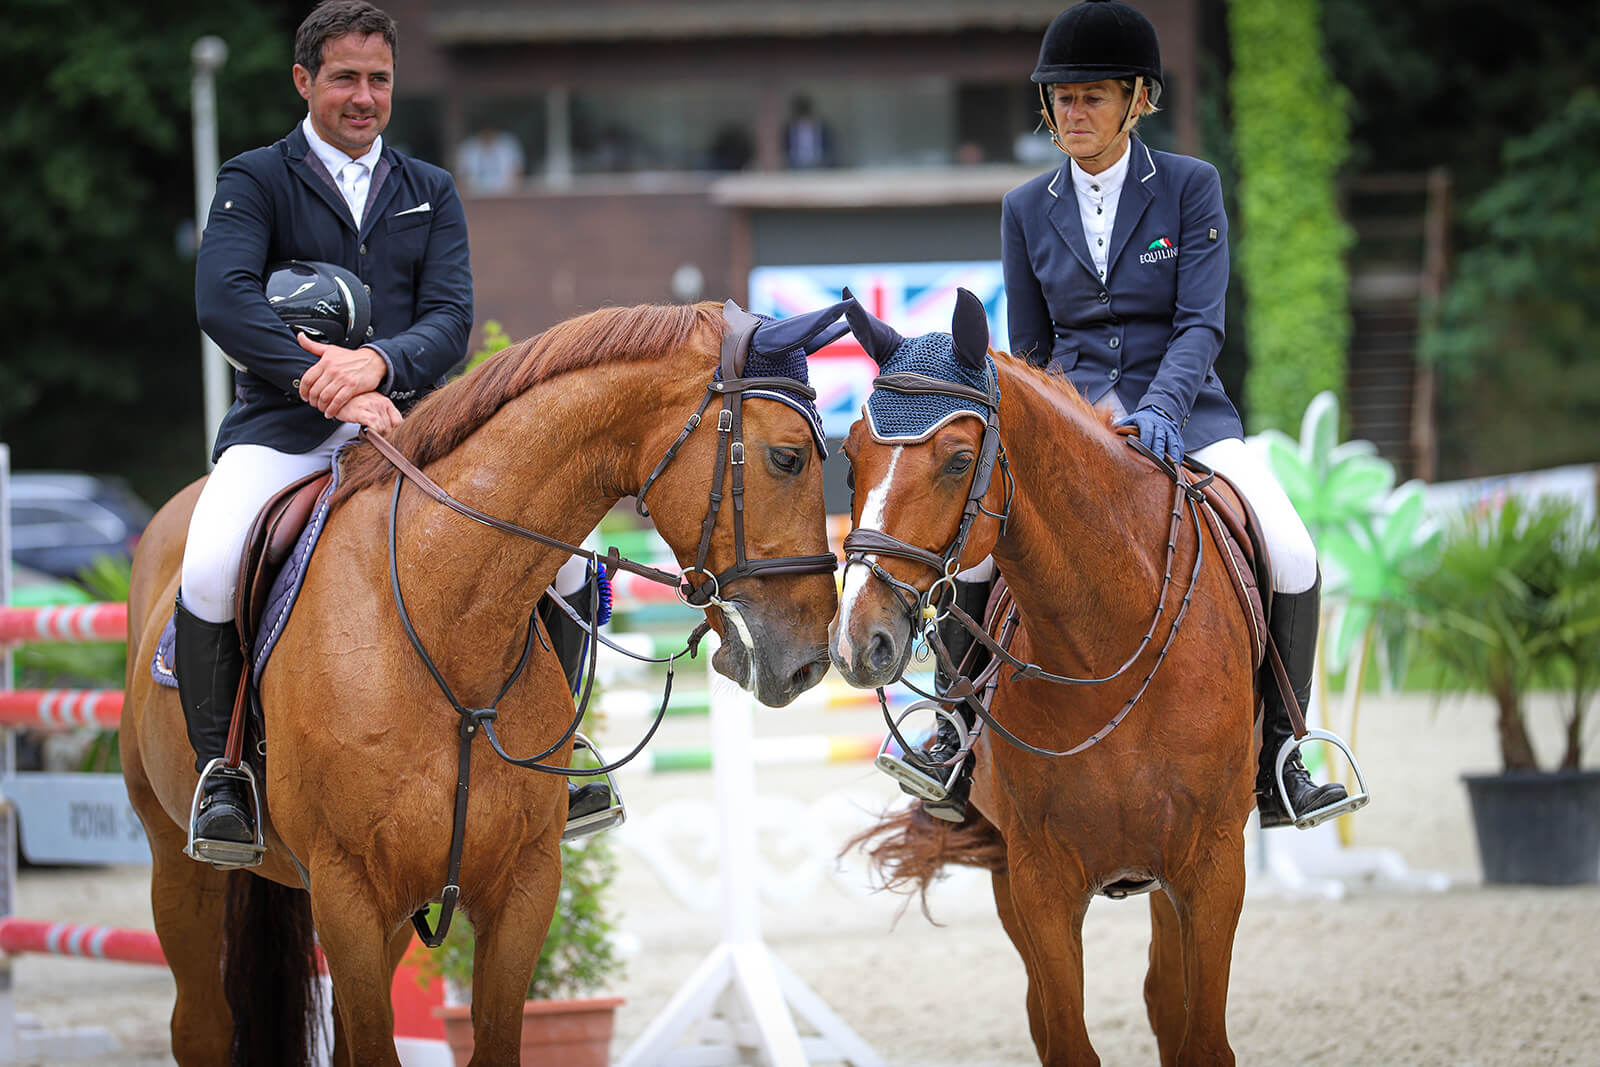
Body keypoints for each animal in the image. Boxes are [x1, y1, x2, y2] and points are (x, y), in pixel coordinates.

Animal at [121, 300, 851, 1067]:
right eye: (786, 457)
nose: (808, 660)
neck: (444, 621)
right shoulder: (348, 891)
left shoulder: (521, 886)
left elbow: (491, 1039)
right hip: (180, 865)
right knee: (199, 1023)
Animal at [832, 289, 1254, 1067]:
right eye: (849, 456)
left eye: (958, 460)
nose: (857, 641)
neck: (1102, 649)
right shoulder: (1038, 880)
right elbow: (1065, 1038)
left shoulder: (1214, 869)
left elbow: (1203, 1042)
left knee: (1164, 998)